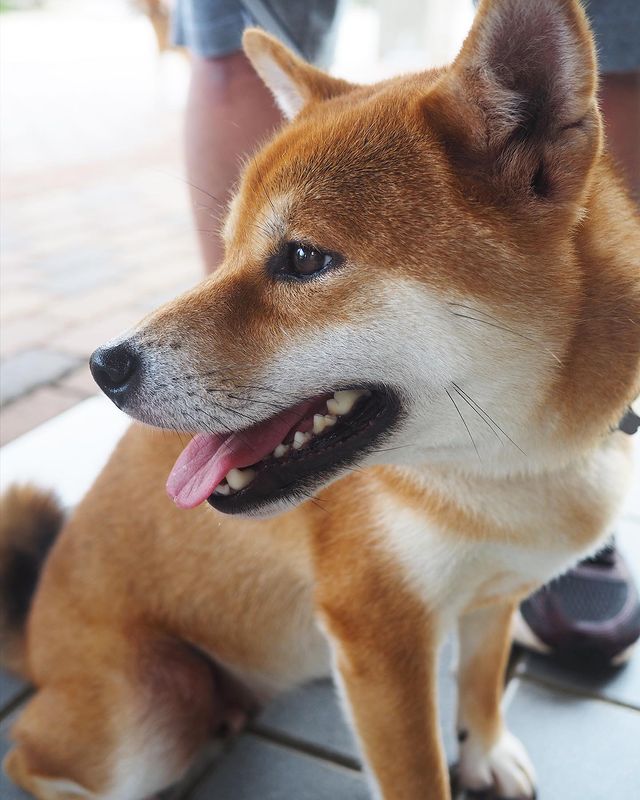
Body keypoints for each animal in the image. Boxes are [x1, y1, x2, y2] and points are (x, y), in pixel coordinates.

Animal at [1, 0, 640, 796]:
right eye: (228, 250)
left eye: (303, 257)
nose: (102, 365)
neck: (512, 473)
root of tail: (33, 636)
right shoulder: (380, 638)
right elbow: (417, 773)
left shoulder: (496, 592)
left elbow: (483, 678)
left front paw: (486, 748)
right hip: (145, 712)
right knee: (28, 754)